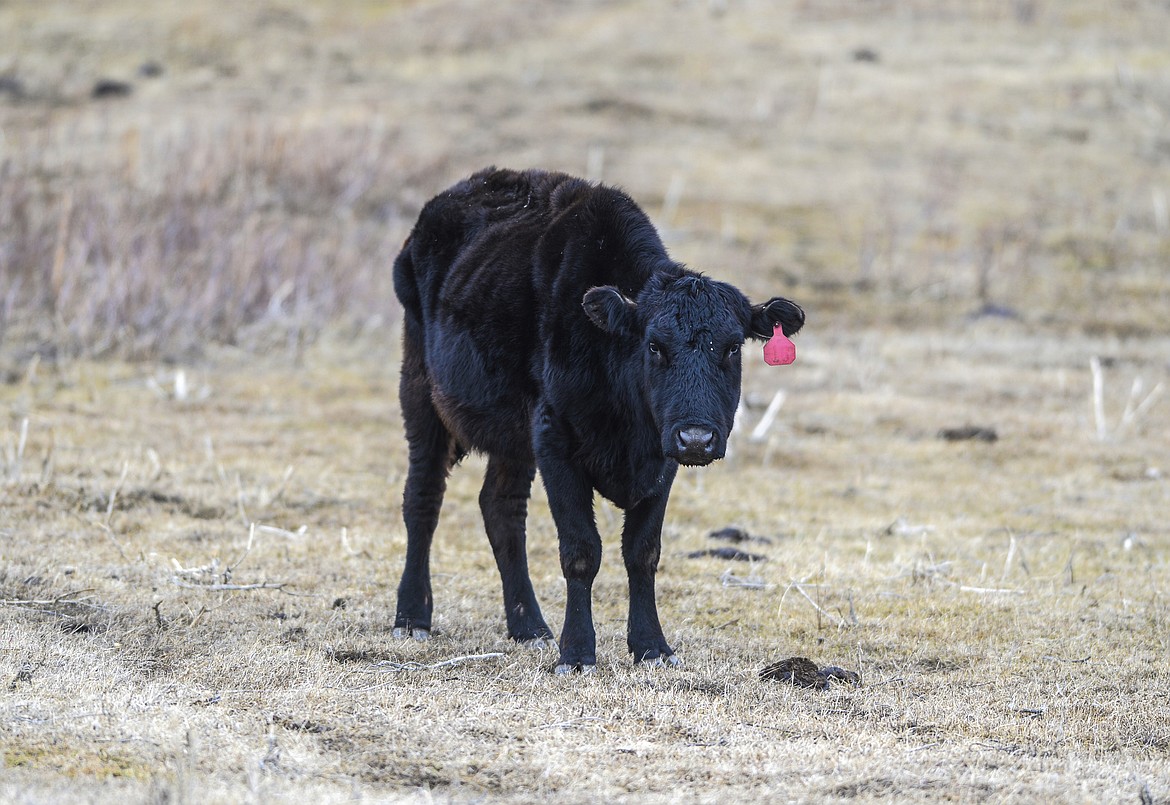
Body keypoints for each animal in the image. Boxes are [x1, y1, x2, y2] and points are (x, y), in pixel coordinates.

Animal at [393, 168, 804, 673]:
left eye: (731, 348)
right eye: (654, 346)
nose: (696, 438)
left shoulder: (660, 458)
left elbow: (642, 552)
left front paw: (651, 646)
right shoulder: (555, 440)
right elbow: (581, 550)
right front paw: (576, 652)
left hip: (514, 437)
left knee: (502, 509)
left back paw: (529, 626)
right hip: (420, 394)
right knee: (423, 498)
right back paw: (412, 616)